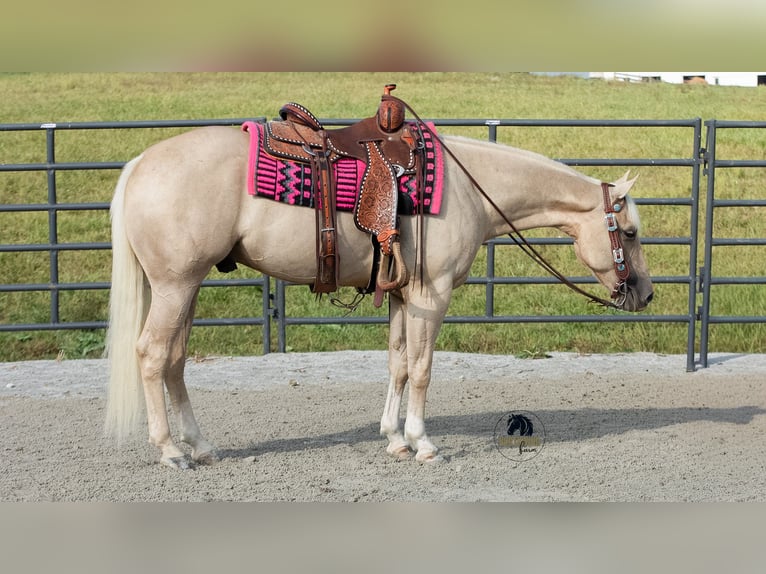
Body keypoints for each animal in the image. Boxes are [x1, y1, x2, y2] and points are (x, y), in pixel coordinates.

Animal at [104, 125, 653, 469]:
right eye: (628, 233)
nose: (645, 294)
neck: (468, 189)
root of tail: (140, 163)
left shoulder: (402, 296)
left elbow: (398, 363)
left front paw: (393, 438)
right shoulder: (432, 295)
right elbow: (423, 367)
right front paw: (422, 442)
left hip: (184, 287)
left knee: (175, 361)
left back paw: (199, 445)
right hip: (176, 286)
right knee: (152, 355)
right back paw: (171, 452)